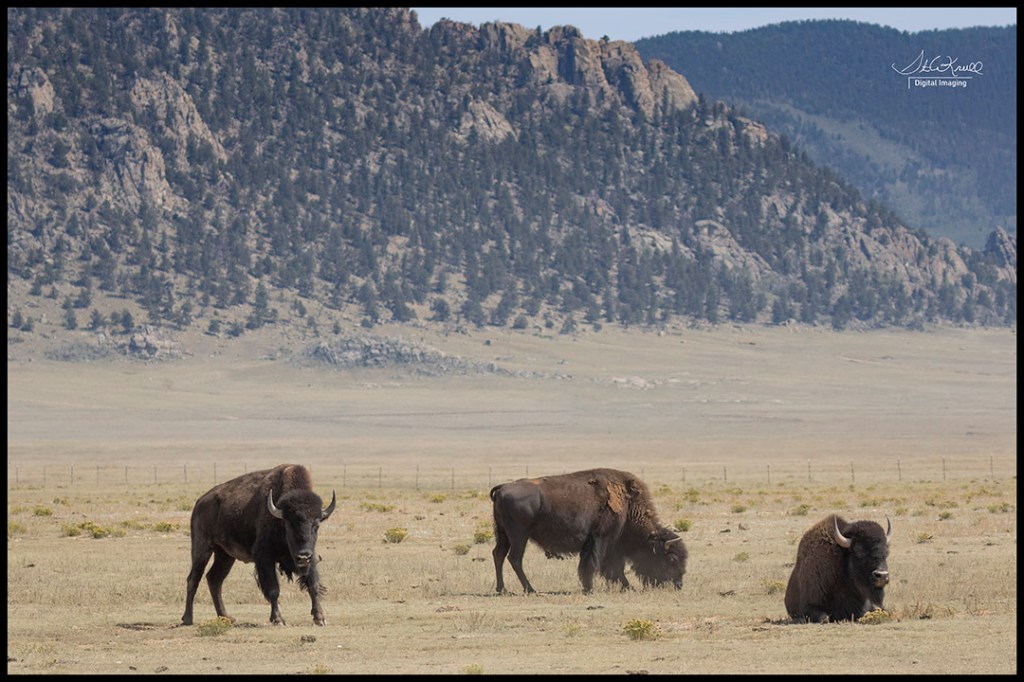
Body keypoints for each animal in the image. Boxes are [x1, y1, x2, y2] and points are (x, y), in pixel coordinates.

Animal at [181, 464, 336, 626]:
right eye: (288, 524)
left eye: (317, 525)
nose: (303, 556)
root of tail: (199, 503)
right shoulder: (265, 558)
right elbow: (273, 589)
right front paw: (278, 620)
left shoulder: (311, 559)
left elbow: (314, 585)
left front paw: (320, 618)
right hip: (201, 548)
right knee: (193, 579)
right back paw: (188, 618)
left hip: (225, 555)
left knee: (214, 579)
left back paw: (226, 617)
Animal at [490, 468, 687, 594]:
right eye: (672, 559)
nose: (678, 584)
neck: (628, 505)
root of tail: (502, 488)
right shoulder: (602, 539)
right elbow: (598, 565)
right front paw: (589, 588)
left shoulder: (611, 544)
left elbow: (612, 568)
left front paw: (626, 587)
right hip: (519, 536)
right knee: (515, 558)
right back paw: (530, 589)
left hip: (503, 534)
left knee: (498, 554)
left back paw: (502, 589)